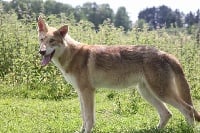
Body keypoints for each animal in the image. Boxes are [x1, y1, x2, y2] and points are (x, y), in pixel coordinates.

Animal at [37, 16, 200, 133]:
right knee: (167, 113)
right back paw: (155, 130)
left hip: (161, 93)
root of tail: (165, 54)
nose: (41, 51)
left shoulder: (87, 92)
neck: (72, 55)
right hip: (147, 93)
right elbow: (84, 117)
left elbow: (89, 119)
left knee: (188, 109)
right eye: (42, 40)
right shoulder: (80, 93)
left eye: (52, 41)